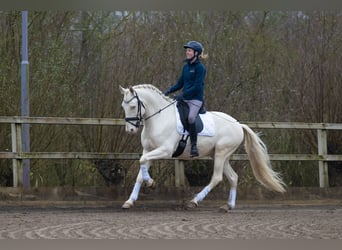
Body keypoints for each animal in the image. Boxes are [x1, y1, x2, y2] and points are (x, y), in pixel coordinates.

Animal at [119, 83, 284, 209]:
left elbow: (142, 162)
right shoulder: (149, 150)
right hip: (220, 155)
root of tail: (238, 125)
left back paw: (194, 201)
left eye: (133, 106)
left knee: (216, 178)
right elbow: (140, 172)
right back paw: (228, 206)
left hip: (221, 153)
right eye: (123, 106)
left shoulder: (164, 151)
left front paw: (151, 183)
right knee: (233, 177)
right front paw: (130, 201)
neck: (159, 119)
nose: (130, 130)